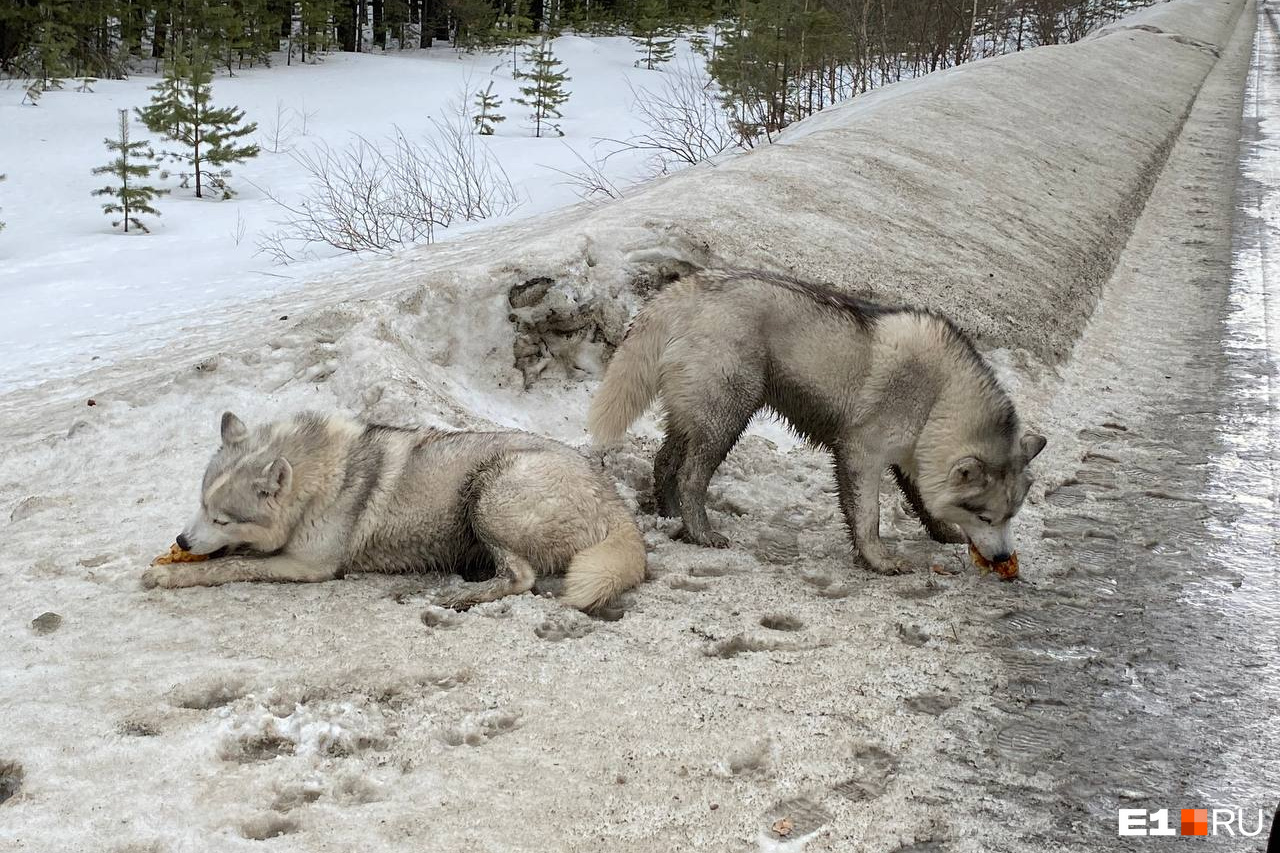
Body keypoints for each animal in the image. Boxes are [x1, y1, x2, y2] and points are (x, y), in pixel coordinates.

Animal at [145, 412, 645, 612]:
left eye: (222, 519)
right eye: (201, 505)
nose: (182, 541)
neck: (322, 480)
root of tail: (616, 505)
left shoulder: (306, 567)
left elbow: (230, 567)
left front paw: (169, 574)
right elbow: (229, 559)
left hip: (487, 494)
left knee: (522, 579)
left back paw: (458, 595)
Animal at [586, 266, 1044, 571]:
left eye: (1011, 515)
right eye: (985, 517)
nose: (1004, 556)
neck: (941, 396)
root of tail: (687, 288)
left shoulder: (910, 455)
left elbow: (919, 500)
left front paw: (941, 533)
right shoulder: (860, 452)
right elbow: (868, 516)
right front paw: (877, 559)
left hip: (696, 414)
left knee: (664, 463)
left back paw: (669, 515)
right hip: (727, 417)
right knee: (690, 477)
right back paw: (700, 531)